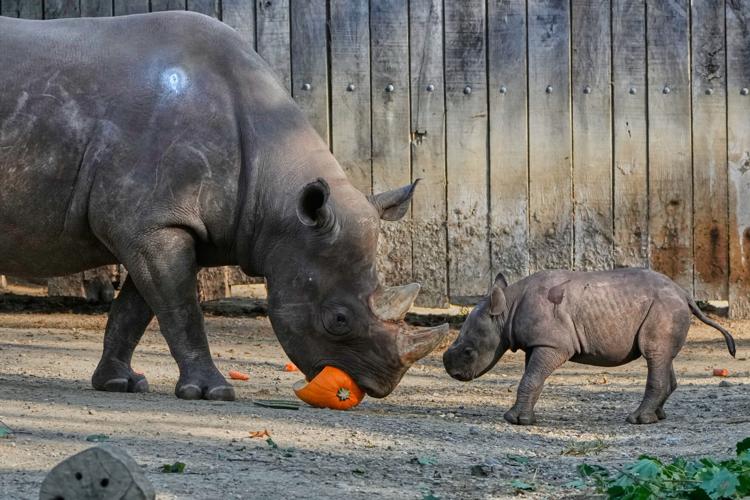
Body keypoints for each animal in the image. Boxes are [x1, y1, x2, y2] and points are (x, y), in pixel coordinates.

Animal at [0, 12, 447, 401]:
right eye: (337, 320)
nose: (379, 385)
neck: (279, 197)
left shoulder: (161, 225)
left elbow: (136, 309)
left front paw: (118, 383)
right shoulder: (153, 224)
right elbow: (181, 309)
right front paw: (211, 392)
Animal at [443, 268, 736, 425]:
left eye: (468, 351)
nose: (453, 373)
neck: (506, 310)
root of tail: (684, 293)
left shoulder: (554, 345)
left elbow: (530, 379)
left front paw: (515, 421)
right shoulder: (539, 343)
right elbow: (532, 379)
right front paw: (522, 418)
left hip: (664, 307)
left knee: (654, 354)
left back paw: (636, 420)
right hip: (666, 307)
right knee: (662, 357)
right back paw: (658, 416)